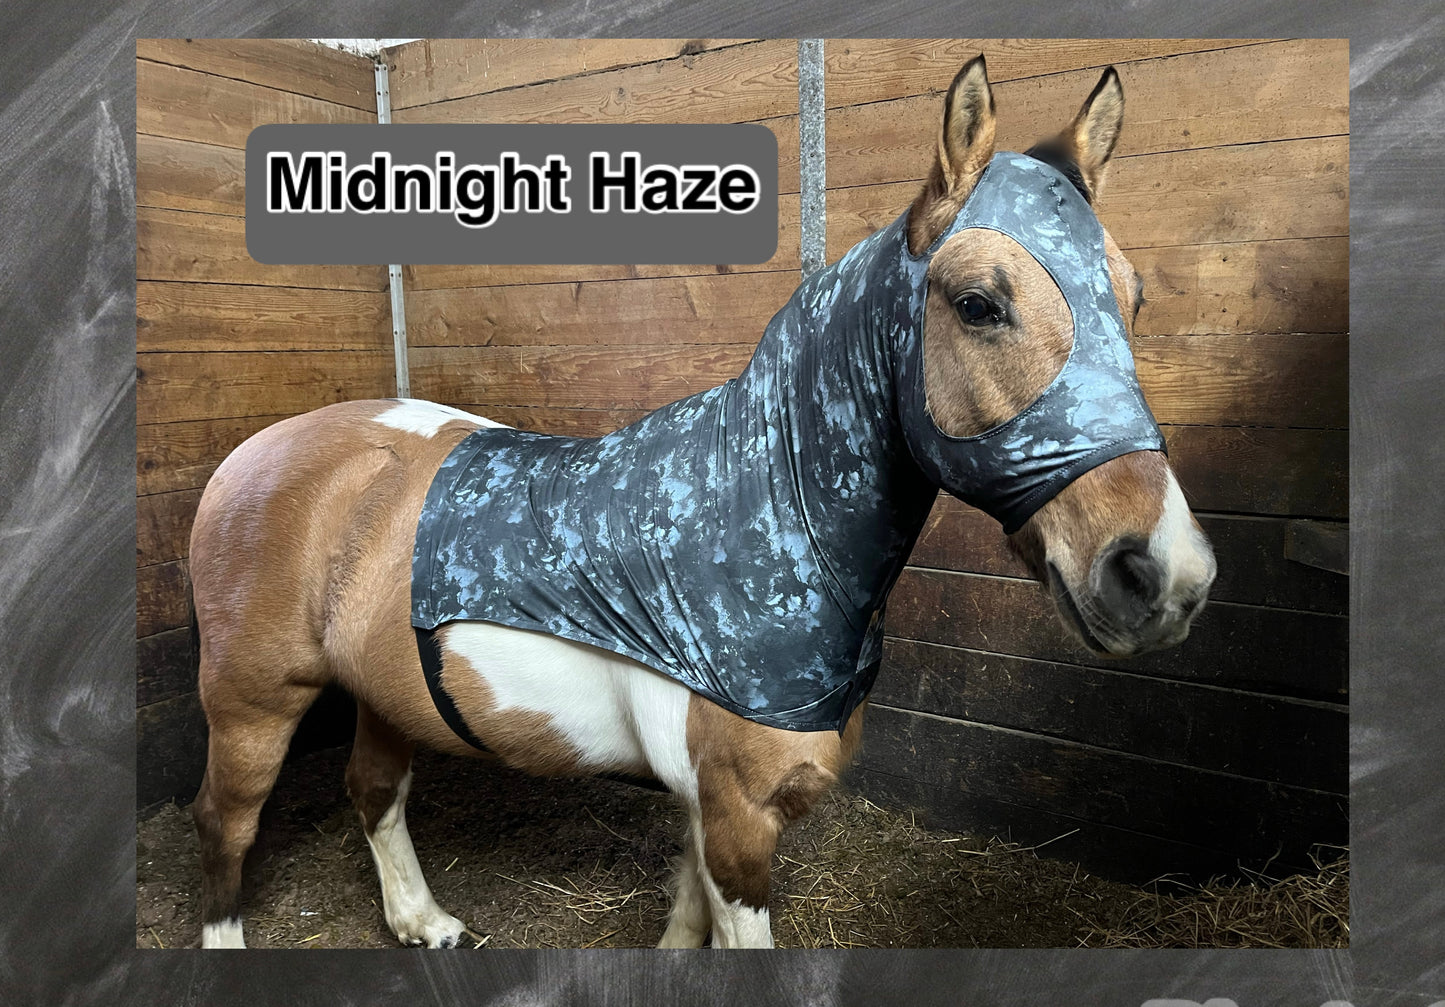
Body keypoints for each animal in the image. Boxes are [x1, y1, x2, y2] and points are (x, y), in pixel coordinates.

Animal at [188, 56, 1217, 949]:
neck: (765, 521)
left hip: (382, 694)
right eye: (976, 304)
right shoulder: (736, 820)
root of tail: (256, 453)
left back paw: (422, 920)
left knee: (374, 791)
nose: (1164, 575)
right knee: (224, 822)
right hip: (250, 705)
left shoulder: (704, 809)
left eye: (1132, 298)